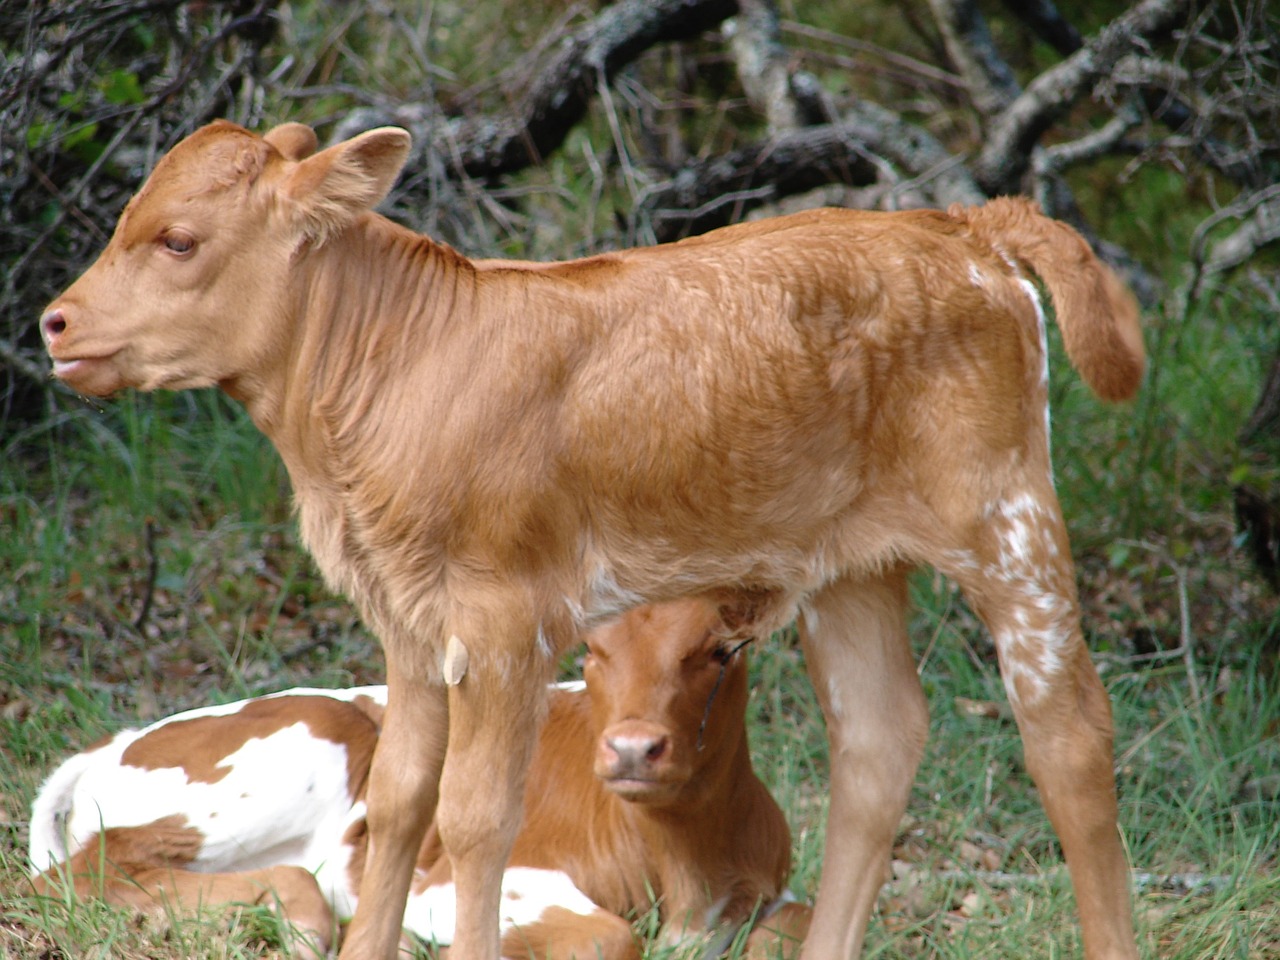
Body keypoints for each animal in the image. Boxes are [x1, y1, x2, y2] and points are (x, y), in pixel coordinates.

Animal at [27, 601, 808, 960]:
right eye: (593, 650)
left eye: (725, 649)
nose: (634, 749)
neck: (685, 866)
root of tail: (114, 742)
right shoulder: (470, 880)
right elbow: (610, 937)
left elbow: (786, 928)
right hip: (323, 736)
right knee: (77, 872)